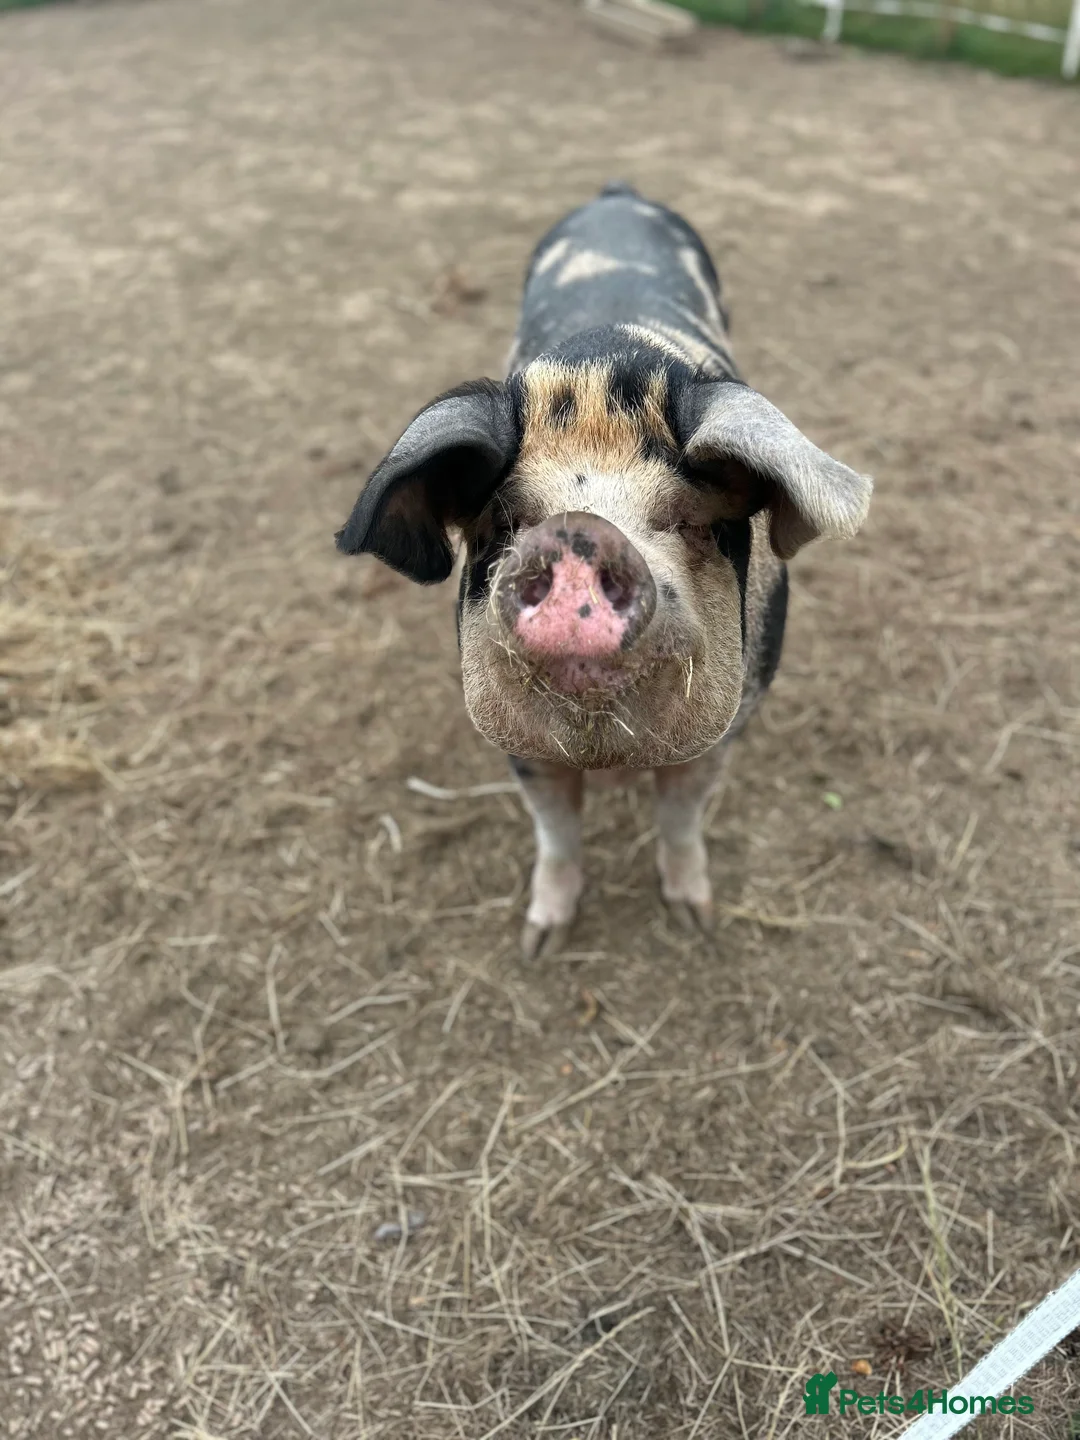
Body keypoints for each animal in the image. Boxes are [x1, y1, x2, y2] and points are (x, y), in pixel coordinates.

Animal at [336, 183, 872, 958]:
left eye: (687, 518)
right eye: (507, 520)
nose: (579, 532)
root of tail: (618, 192)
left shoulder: (732, 722)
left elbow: (681, 821)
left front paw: (697, 923)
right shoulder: (519, 749)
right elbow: (556, 836)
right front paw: (539, 944)